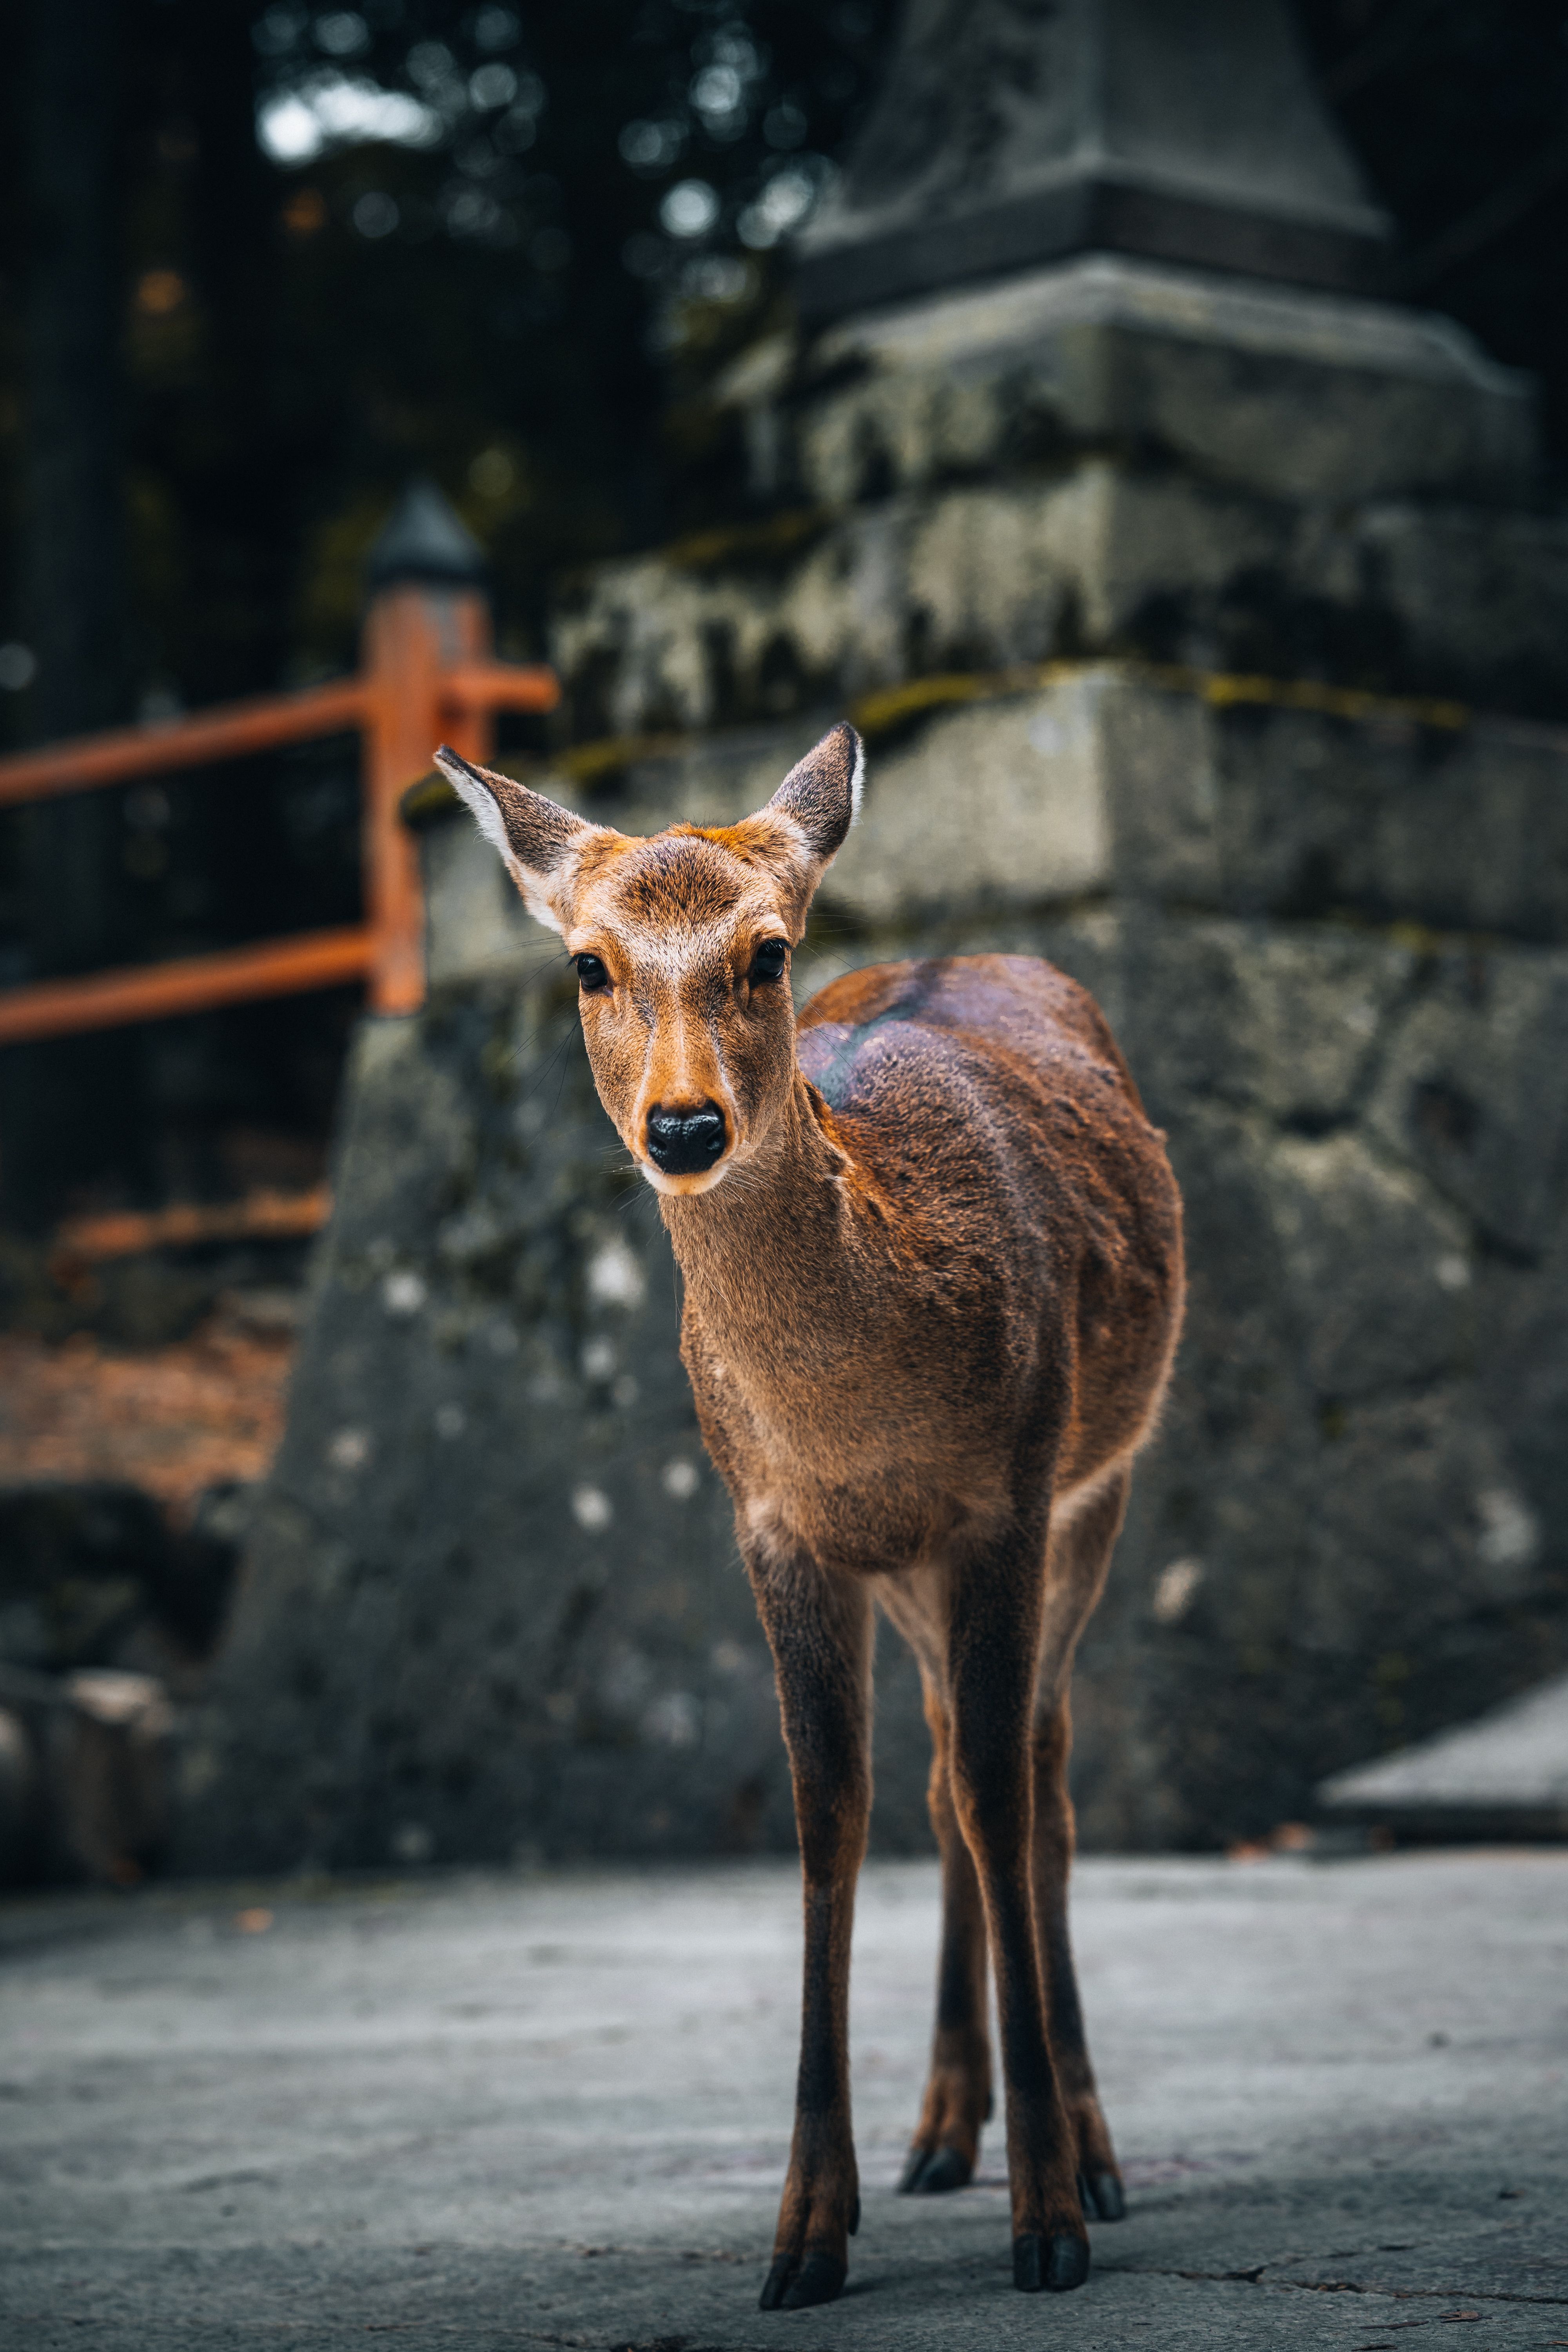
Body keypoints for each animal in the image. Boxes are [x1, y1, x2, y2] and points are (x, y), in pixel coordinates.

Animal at [434, 721, 1185, 2310]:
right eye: (586, 963)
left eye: (766, 950)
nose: (682, 1123)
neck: (855, 1420)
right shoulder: (776, 1527)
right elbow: (828, 1807)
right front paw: (803, 2228)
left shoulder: (1003, 1497)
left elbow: (999, 1790)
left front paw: (1049, 2218)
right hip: (912, 1572)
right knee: (947, 1775)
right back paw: (940, 2129)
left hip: (1097, 1488)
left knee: (1032, 1773)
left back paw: (1084, 2148)